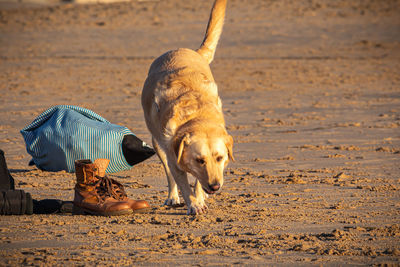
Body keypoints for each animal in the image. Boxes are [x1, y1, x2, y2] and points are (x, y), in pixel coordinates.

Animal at [142, 0, 233, 216]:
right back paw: (173, 197)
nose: (215, 186)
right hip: (157, 144)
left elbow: (198, 182)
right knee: (170, 176)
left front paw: (199, 197)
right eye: (200, 160)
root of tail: (183, 49)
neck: (196, 116)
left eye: (220, 158)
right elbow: (183, 183)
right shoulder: (173, 156)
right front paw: (194, 204)